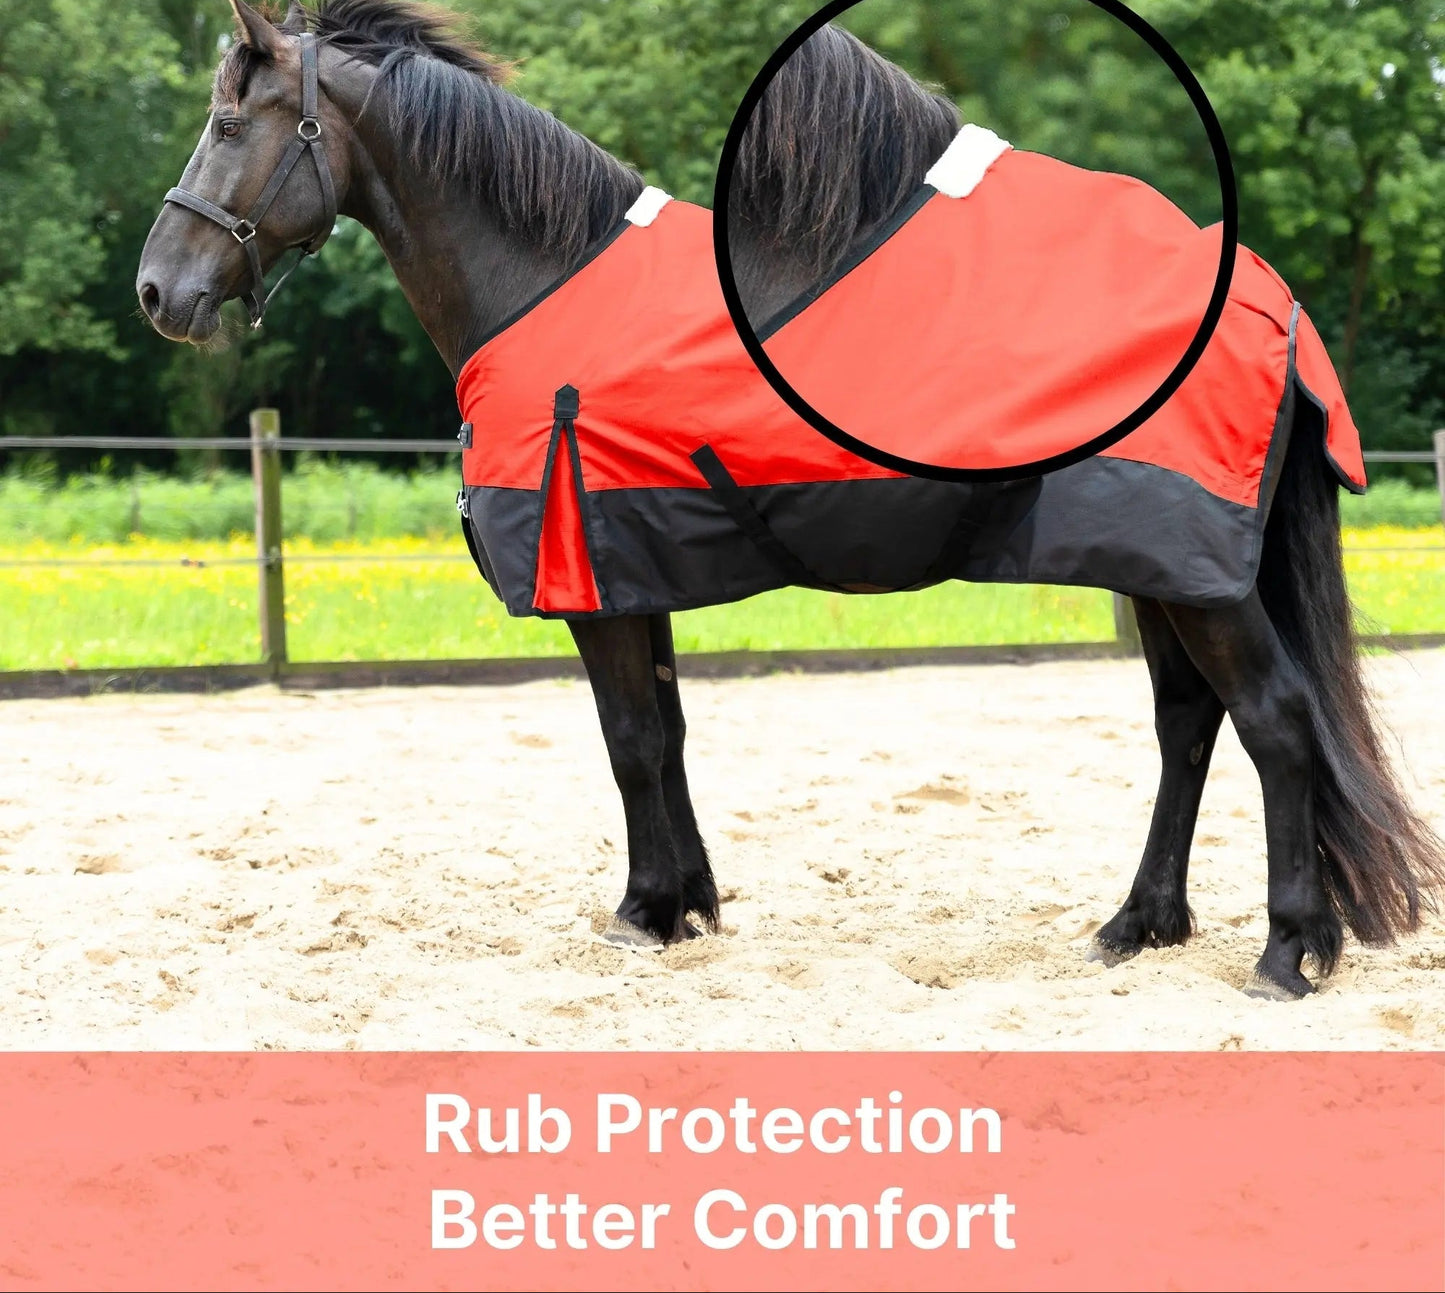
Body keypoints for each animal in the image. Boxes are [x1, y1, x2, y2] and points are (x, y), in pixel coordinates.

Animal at [136, 2, 1443, 1000]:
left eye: (227, 122)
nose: (158, 291)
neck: (542, 279)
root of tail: (1266, 297)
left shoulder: (593, 584)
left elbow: (626, 742)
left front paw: (641, 913)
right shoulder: (633, 568)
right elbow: (662, 736)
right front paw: (688, 907)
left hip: (1193, 574)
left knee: (1273, 721)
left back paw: (1288, 953)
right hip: (1161, 568)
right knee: (1187, 726)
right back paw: (1135, 928)